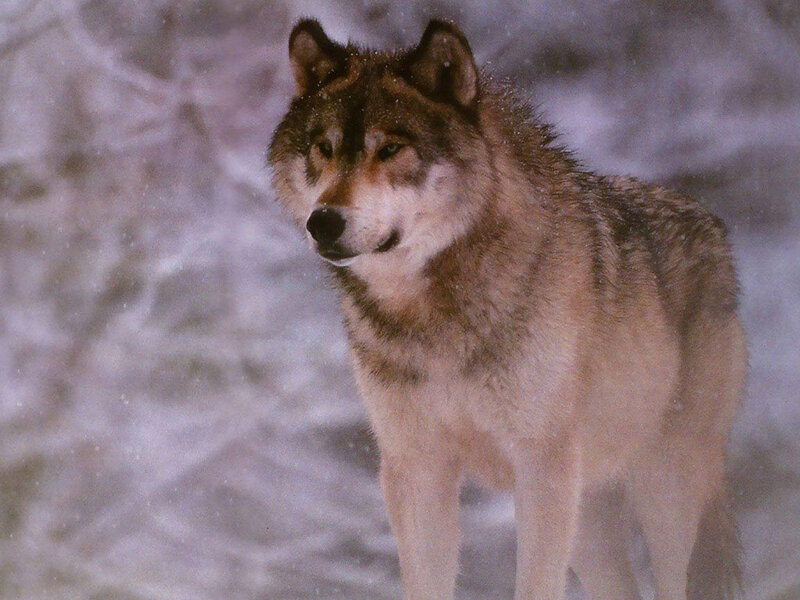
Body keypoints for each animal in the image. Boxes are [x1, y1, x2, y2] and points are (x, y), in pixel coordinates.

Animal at [268, 18, 746, 600]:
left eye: (391, 149)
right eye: (324, 147)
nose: (323, 221)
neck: (432, 315)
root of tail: (713, 226)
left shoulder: (540, 463)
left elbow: (534, 583)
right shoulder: (415, 468)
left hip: (665, 491)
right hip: (590, 519)